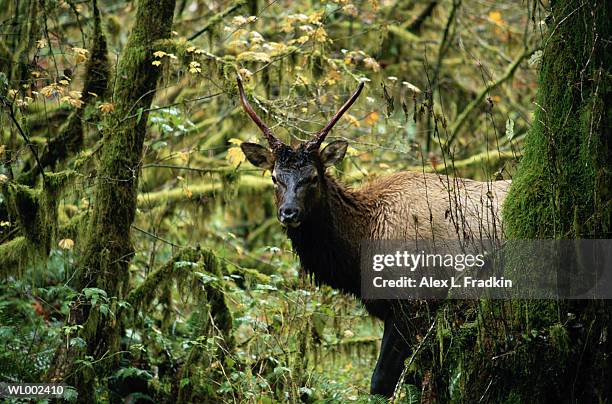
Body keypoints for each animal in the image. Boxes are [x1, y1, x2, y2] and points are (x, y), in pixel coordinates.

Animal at [237, 76, 510, 398]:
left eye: (313, 177)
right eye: (274, 177)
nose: (289, 212)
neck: (357, 256)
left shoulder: (413, 303)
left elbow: (381, 383)